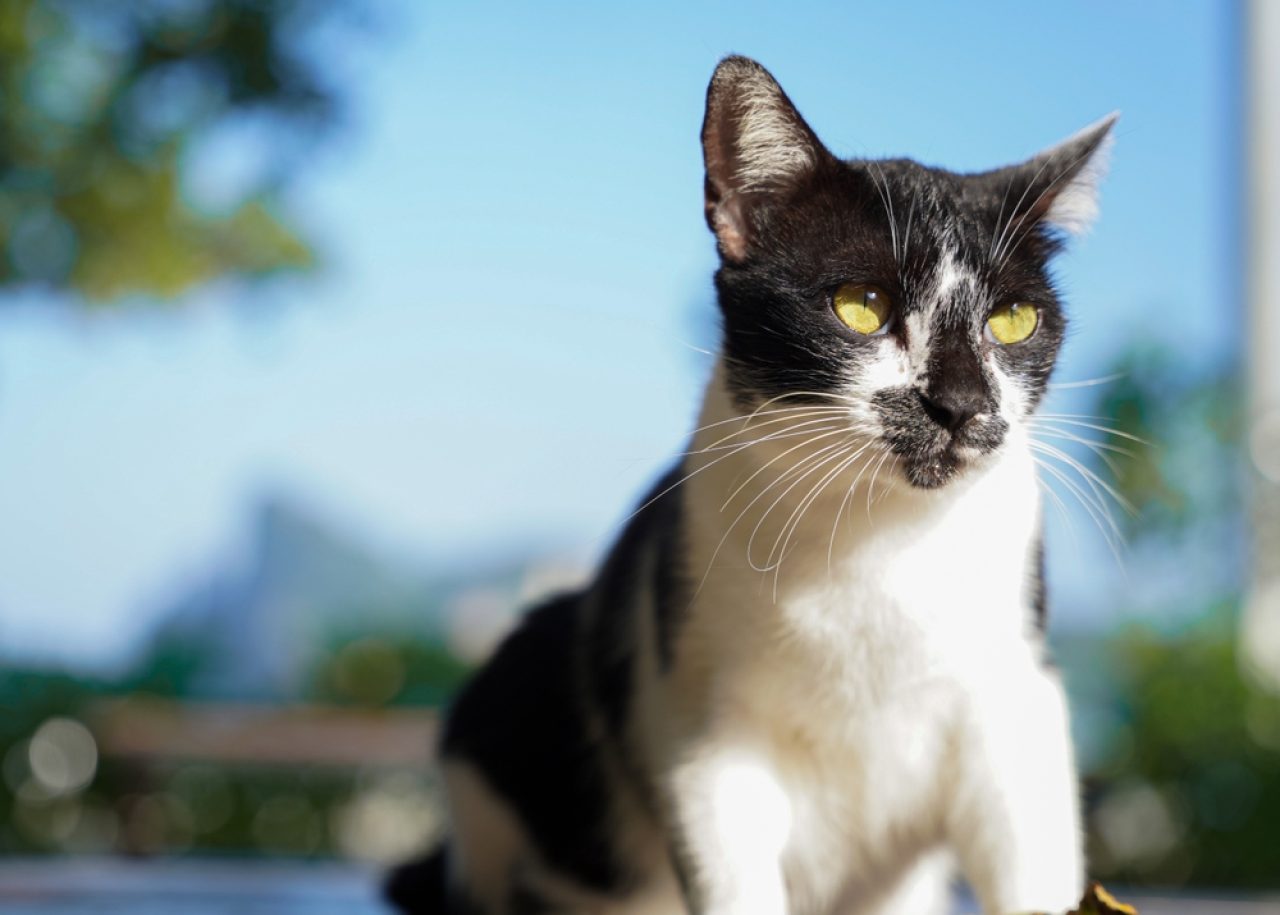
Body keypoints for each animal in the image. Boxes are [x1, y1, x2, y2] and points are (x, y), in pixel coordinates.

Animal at [386, 57, 1111, 915]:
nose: (962, 403)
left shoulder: (1012, 703)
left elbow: (1029, 846)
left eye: (1012, 320)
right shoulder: (705, 737)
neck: (879, 543)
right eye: (862, 306)